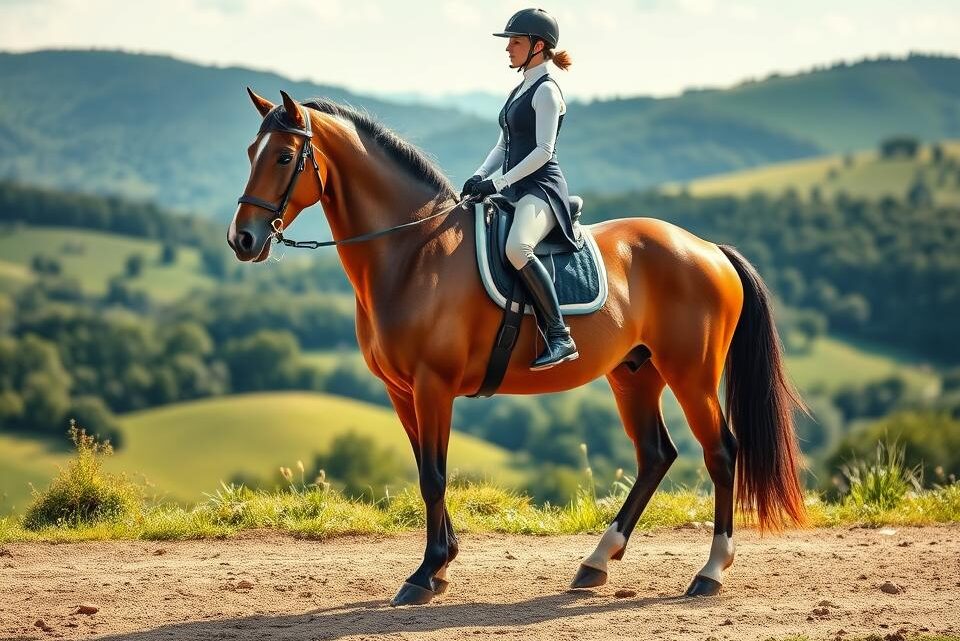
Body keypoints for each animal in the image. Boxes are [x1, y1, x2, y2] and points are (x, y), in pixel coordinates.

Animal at [227, 89, 808, 606]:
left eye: (284, 156)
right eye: (251, 152)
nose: (243, 240)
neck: (412, 252)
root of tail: (708, 248)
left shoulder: (433, 386)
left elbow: (434, 477)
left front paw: (425, 574)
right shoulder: (402, 391)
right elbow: (426, 473)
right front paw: (442, 566)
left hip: (691, 374)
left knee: (721, 452)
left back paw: (710, 572)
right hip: (634, 374)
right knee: (655, 455)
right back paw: (595, 562)